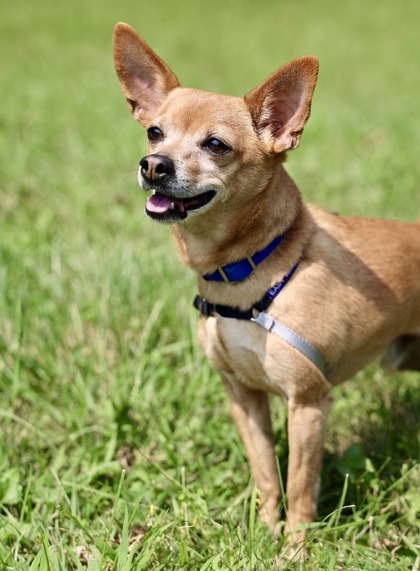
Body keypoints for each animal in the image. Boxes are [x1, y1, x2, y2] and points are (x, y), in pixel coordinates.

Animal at [112, 22, 420, 548]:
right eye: (155, 132)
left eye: (216, 145)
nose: (153, 164)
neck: (245, 273)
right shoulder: (245, 398)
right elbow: (267, 475)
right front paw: (265, 531)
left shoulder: (308, 404)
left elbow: (299, 487)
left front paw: (295, 548)